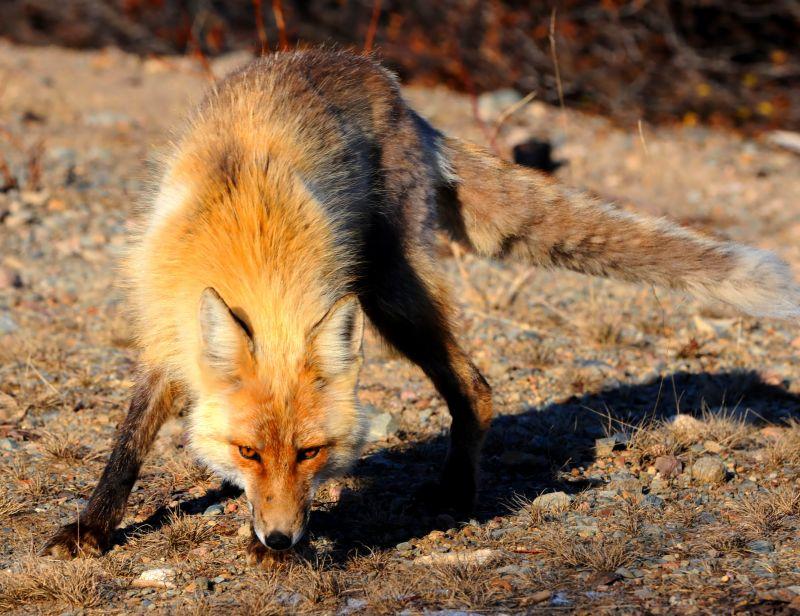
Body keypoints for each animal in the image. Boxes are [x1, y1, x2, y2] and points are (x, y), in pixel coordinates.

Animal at [43, 49, 800, 562]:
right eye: (248, 451)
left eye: (311, 453)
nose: (283, 539)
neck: (250, 243)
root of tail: (392, 87)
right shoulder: (165, 338)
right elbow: (129, 441)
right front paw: (92, 527)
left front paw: (261, 541)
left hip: (389, 292)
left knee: (477, 386)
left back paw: (459, 493)